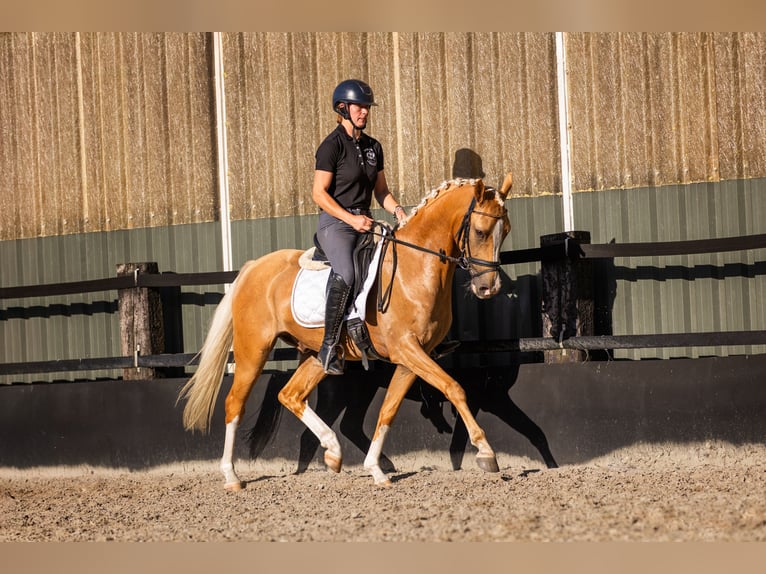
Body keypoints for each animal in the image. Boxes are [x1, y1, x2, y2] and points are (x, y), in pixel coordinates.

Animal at [178, 173, 516, 488]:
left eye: (507, 231)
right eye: (480, 231)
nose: (488, 288)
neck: (414, 267)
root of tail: (252, 268)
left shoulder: (412, 357)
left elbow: (388, 410)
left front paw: (376, 470)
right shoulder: (407, 349)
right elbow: (454, 387)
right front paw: (486, 453)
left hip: (317, 355)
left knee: (291, 394)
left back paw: (333, 451)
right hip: (253, 349)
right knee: (235, 403)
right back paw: (232, 476)